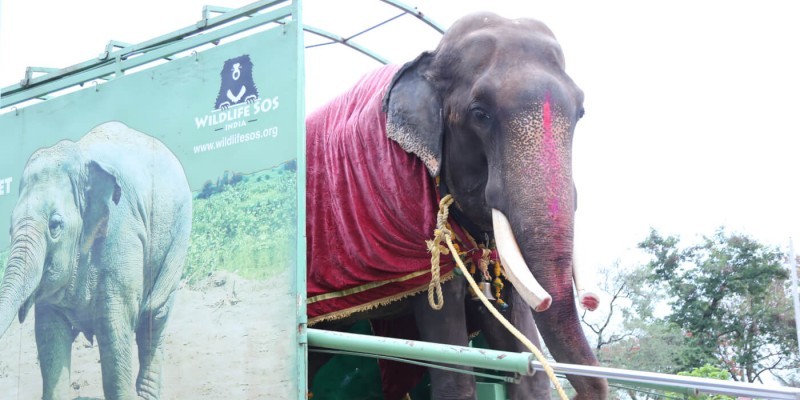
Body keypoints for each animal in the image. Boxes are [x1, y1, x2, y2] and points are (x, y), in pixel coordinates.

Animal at [0, 121, 192, 400]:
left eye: (55, 225)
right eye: (9, 229)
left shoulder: (122, 234)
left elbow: (114, 333)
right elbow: (49, 338)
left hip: (177, 240)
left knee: (154, 320)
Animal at [306, 12, 608, 400]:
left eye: (581, 111)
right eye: (479, 113)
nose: (590, 302)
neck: (428, 60)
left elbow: (523, 359)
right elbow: (452, 361)